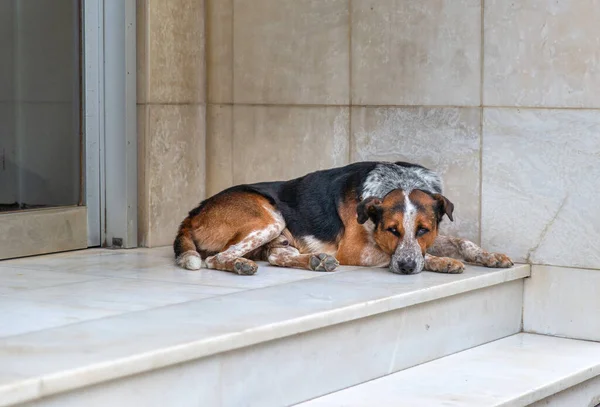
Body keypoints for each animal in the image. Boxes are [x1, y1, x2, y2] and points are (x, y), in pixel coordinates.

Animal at [172, 161, 510, 276]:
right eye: (391, 230)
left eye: (424, 229)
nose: (406, 267)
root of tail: (192, 212)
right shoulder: (356, 251)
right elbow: (408, 255)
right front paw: (443, 263)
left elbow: (463, 242)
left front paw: (491, 256)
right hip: (269, 217)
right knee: (215, 259)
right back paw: (240, 265)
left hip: (278, 233)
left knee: (278, 256)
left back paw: (316, 261)